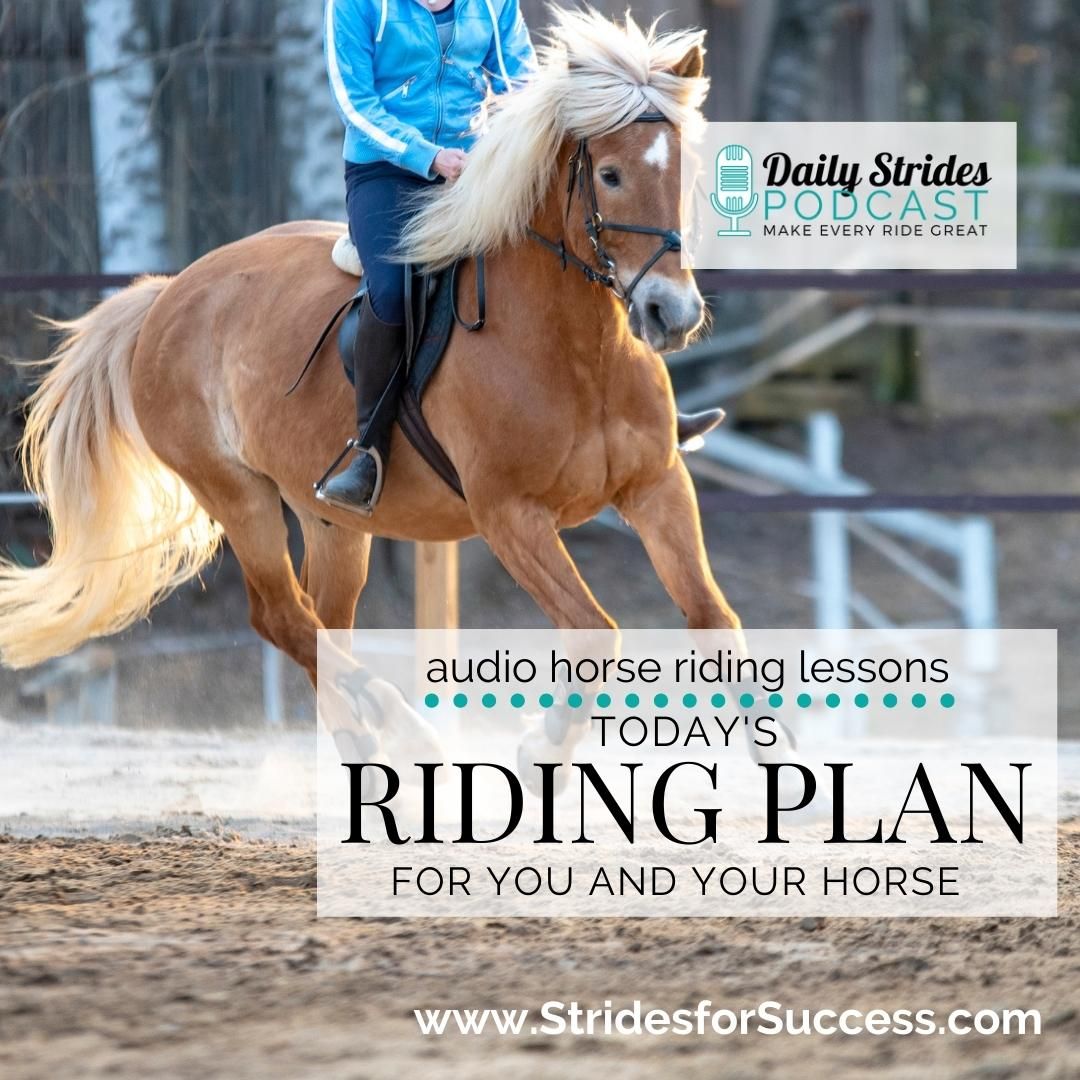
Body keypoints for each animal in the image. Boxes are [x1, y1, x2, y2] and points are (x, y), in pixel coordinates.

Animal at [0, 10, 743, 764]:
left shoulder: (657, 485)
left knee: (323, 622)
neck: (578, 354)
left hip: (331, 520)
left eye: (685, 170)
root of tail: (167, 294)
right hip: (237, 494)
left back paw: (372, 746)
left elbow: (717, 622)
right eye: (611, 175)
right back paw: (409, 734)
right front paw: (542, 760)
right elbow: (595, 631)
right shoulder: (511, 514)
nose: (671, 313)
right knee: (282, 616)